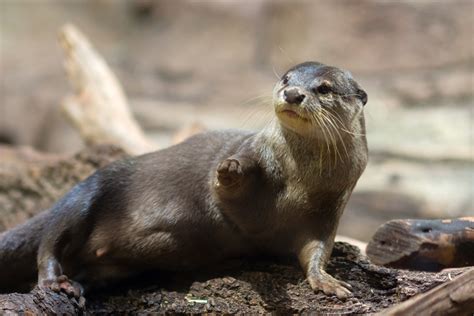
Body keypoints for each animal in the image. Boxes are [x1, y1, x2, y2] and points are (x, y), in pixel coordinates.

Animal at [0, 61, 366, 298]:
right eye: (286, 77)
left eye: (324, 88)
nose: (292, 93)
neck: (299, 182)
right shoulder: (254, 159)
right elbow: (230, 195)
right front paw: (229, 170)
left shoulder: (328, 211)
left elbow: (316, 251)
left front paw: (327, 281)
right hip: (87, 193)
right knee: (51, 239)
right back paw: (54, 281)